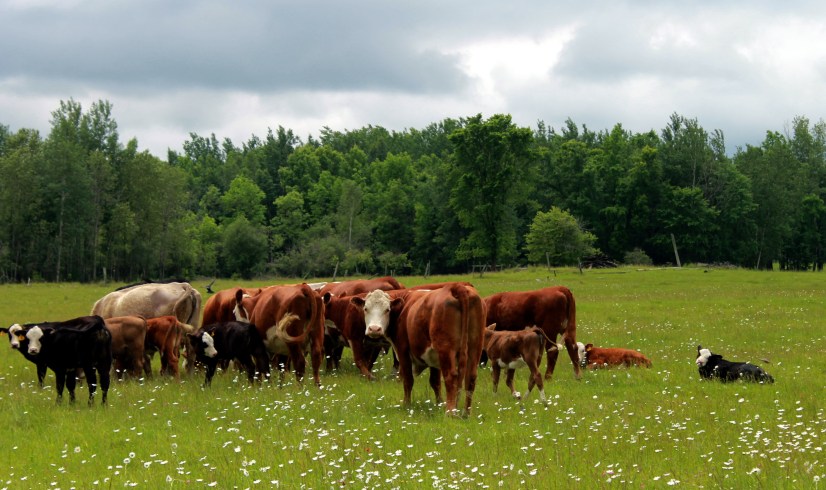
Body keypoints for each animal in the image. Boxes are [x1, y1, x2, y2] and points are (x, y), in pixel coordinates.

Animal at [353, 284, 486, 416]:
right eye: (366, 308)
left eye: (387, 310)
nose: (374, 329)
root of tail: (456, 287)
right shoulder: (433, 357)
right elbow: (435, 382)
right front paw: (439, 404)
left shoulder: (403, 351)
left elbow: (408, 380)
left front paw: (406, 405)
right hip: (475, 347)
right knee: (470, 377)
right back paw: (466, 413)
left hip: (446, 350)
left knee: (451, 377)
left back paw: (450, 412)